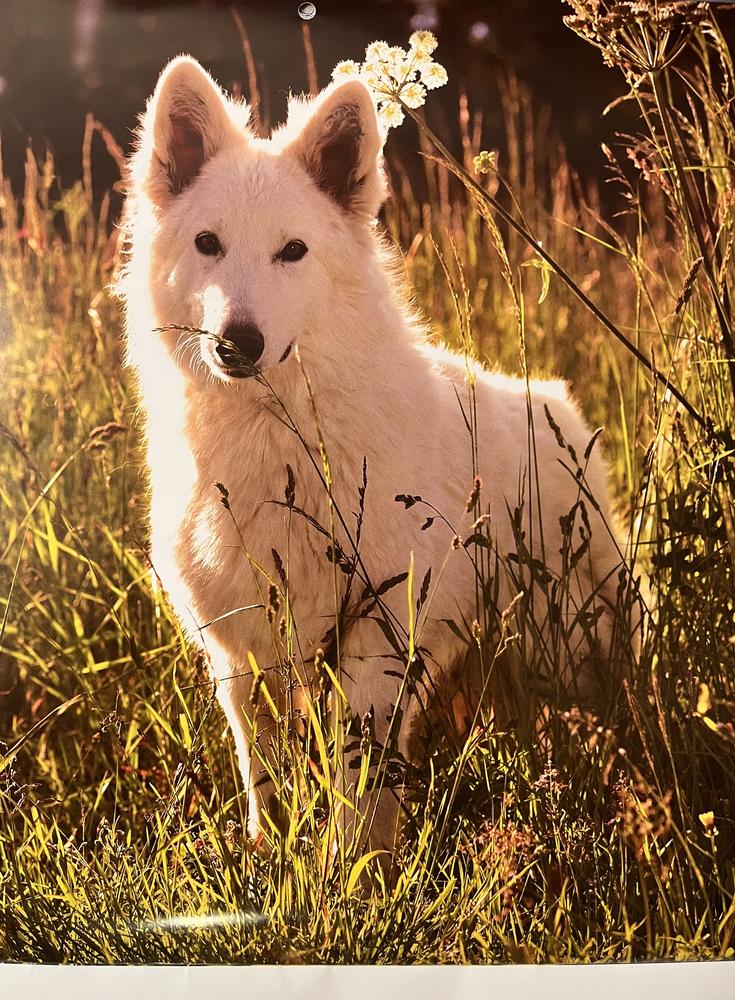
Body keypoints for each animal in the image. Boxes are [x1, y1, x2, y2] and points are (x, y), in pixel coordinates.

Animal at [121, 54, 632, 852]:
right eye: (208, 243)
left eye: (292, 251)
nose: (237, 344)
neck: (281, 446)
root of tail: (557, 406)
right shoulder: (243, 656)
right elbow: (266, 781)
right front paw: (274, 859)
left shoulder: (376, 644)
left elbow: (357, 793)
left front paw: (351, 870)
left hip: (573, 646)